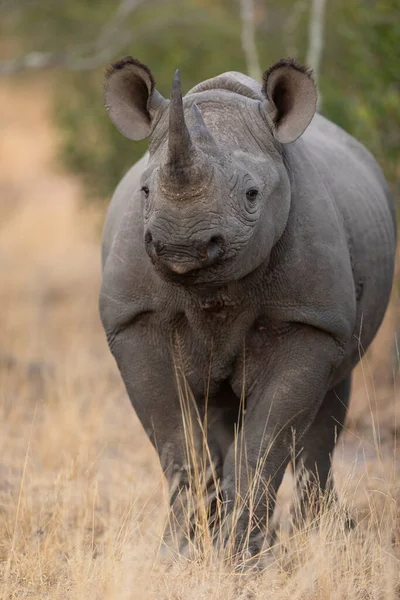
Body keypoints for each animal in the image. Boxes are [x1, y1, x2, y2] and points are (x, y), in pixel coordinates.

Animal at [100, 56, 396, 564]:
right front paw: (178, 555)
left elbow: (264, 445)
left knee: (325, 414)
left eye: (253, 194)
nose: (184, 245)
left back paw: (323, 535)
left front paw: (244, 562)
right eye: (144, 191)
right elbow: (177, 443)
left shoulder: (309, 322)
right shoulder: (135, 320)